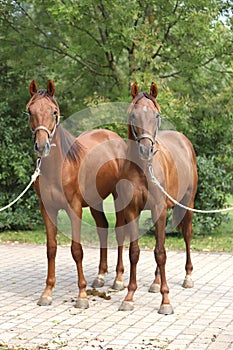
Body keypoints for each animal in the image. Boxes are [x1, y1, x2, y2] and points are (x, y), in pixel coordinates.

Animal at [26, 80, 126, 308]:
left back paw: (118, 279)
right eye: (30, 111)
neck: (59, 167)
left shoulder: (74, 208)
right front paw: (47, 292)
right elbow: (51, 248)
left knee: (119, 231)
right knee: (102, 228)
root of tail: (114, 137)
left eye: (54, 111)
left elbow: (76, 250)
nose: (42, 146)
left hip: (118, 197)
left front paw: (81, 296)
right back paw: (100, 276)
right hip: (96, 201)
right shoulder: (47, 209)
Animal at [118, 82, 197, 314]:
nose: (146, 149)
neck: (142, 169)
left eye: (156, 115)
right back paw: (154, 282)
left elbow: (160, 253)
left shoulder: (159, 209)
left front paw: (166, 301)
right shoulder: (132, 211)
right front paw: (129, 297)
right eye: (133, 115)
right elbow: (135, 252)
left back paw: (188, 277)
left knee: (187, 235)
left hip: (187, 204)